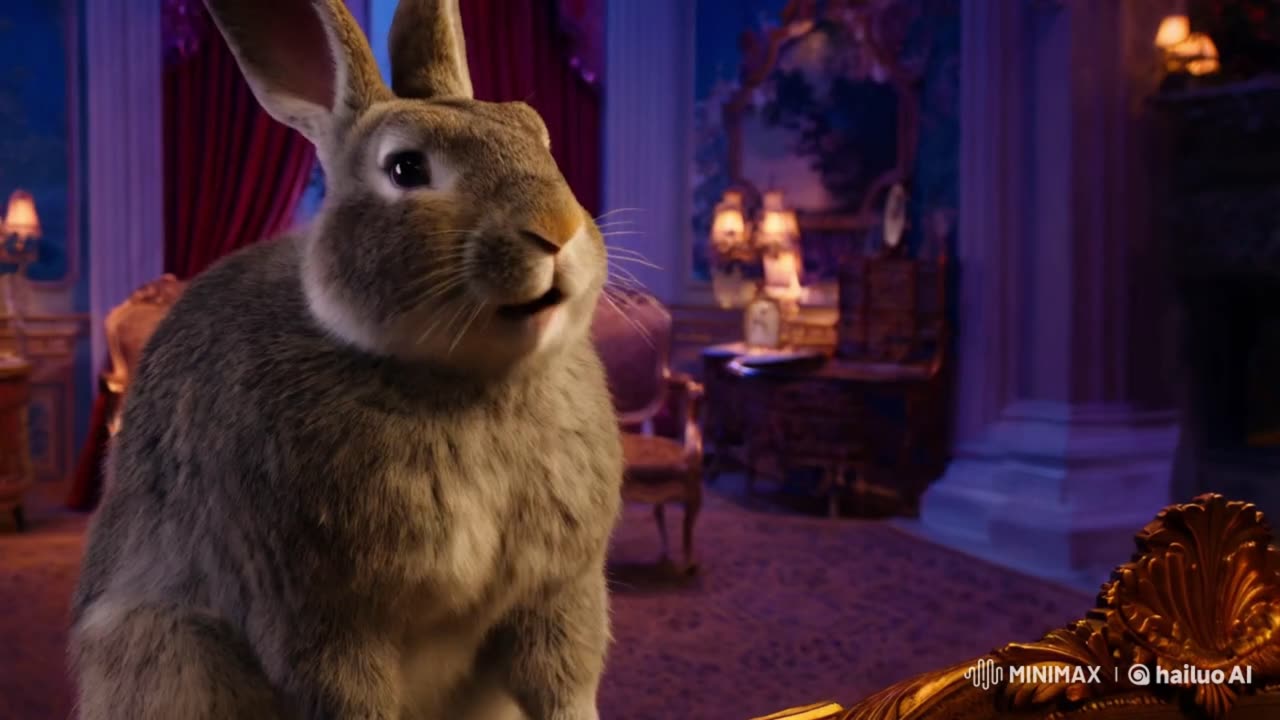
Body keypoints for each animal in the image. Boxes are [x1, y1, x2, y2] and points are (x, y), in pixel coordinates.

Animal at [68, 1, 623, 718]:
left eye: (538, 132)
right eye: (407, 169)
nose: (556, 230)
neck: (463, 382)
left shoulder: (557, 594)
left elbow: (561, 685)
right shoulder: (315, 615)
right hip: (168, 650)